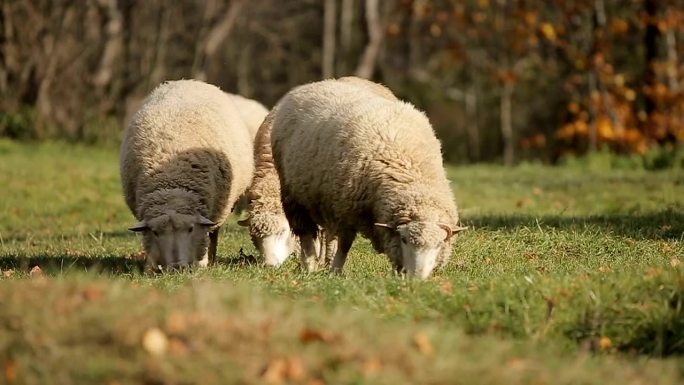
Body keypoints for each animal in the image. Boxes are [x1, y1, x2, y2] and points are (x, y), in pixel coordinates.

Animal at [119, 79, 255, 268]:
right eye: (155, 232)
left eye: (190, 229)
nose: (177, 267)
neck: (171, 178)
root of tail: (188, 81)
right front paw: (150, 267)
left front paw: (202, 264)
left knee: (214, 234)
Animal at [270, 76, 468, 278]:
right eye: (404, 240)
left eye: (439, 244)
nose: (417, 278)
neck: (410, 173)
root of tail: (317, 83)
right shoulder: (345, 211)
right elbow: (344, 245)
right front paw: (336, 271)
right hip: (293, 195)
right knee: (306, 235)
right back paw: (309, 267)